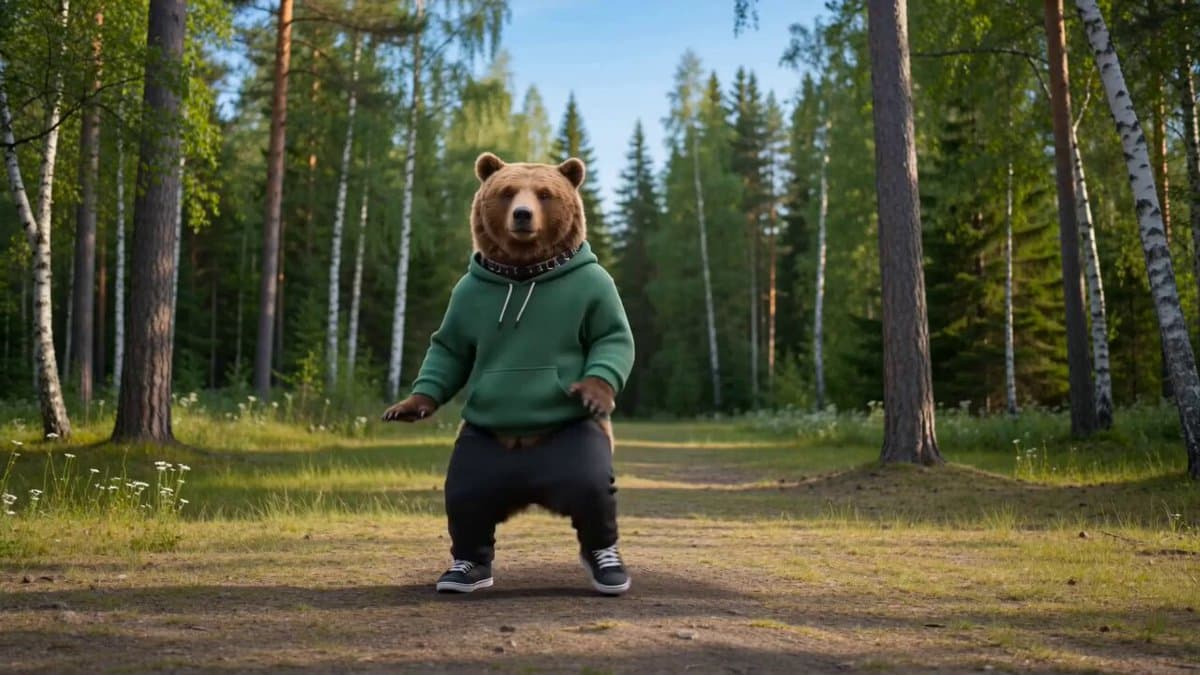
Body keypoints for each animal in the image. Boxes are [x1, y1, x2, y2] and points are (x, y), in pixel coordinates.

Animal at [382, 151, 635, 596]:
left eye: (545, 194)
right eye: (507, 192)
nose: (522, 214)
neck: (526, 272)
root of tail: (528, 484)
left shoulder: (594, 286)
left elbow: (611, 334)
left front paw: (593, 392)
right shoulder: (467, 296)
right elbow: (449, 348)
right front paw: (408, 405)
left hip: (570, 441)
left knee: (592, 492)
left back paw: (607, 566)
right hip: (484, 450)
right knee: (467, 497)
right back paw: (464, 569)